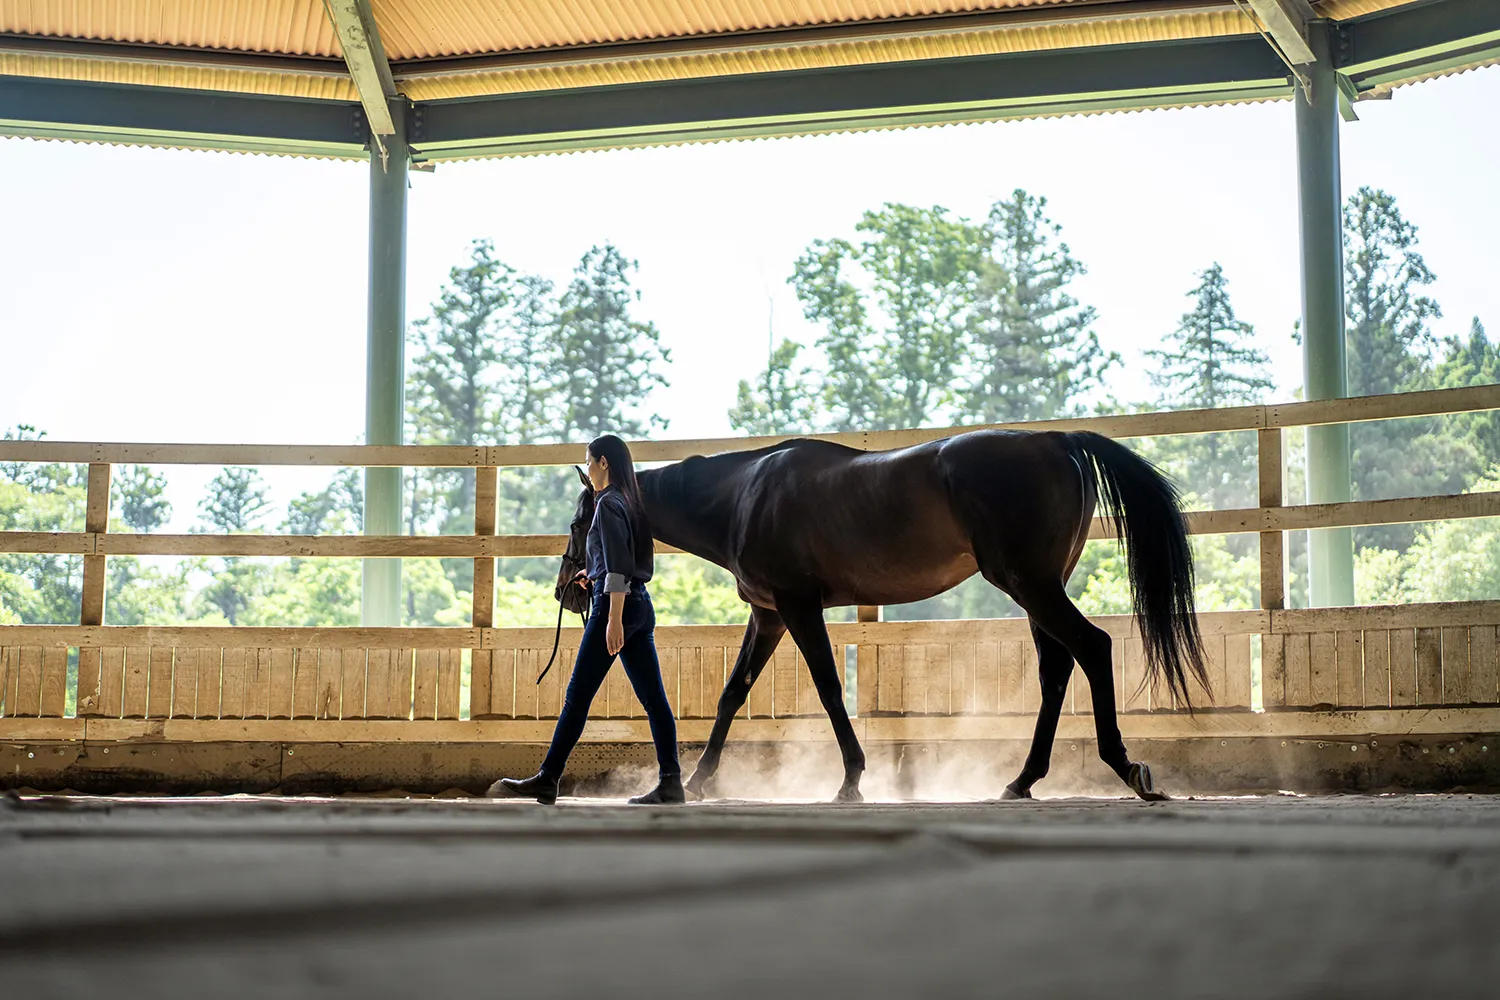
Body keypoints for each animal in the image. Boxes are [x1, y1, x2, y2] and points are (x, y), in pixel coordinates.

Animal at [556, 428, 1207, 803]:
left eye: (579, 520)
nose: (570, 593)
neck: (744, 494)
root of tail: (1058, 441)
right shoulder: (768, 615)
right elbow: (733, 692)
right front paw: (699, 780)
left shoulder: (797, 607)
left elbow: (827, 687)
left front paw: (851, 779)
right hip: (1037, 590)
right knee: (1056, 669)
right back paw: (1022, 781)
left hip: (1031, 585)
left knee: (1093, 647)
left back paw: (1125, 769)